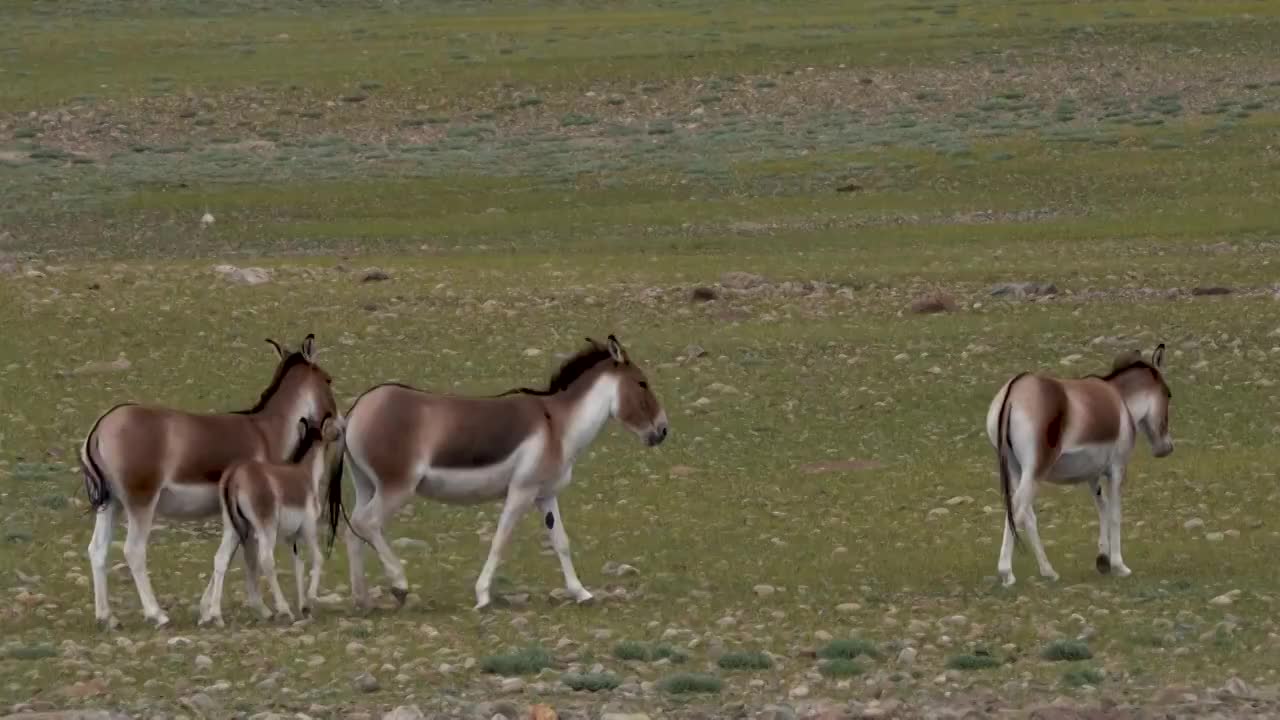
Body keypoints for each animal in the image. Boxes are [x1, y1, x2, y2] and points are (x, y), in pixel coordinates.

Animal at [76, 333, 337, 625]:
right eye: (328, 379)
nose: (339, 424)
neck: (266, 430)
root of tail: (102, 425)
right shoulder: (248, 515)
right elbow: (247, 558)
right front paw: (259, 608)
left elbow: (229, 557)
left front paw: (207, 611)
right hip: (140, 502)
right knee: (133, 551)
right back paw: (157, 614)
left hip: (111, 503)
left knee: (97, 550)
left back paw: (106, 618)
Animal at [345, 333, 675, 607]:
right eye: (642, 383)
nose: (662, 430)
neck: (558, 426)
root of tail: (356, 411)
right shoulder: (521, 491)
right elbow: (500, 540)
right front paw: (482, 596)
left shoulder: (545, 495)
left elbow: (561, 543)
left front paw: (581, 593)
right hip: (397, 486)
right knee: (367, 522)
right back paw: (399, 584)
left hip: (367, 485)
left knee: (354, 528)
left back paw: (362, 599)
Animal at [983, 345, 1172, 586]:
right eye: (1168, 394)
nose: (1166, 448)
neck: (1121, 400)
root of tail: (1014, 390)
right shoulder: (1117, 469)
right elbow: (1115, 514)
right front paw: (1119, 566)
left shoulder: (1092, 475)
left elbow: (1102, 508)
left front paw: (1103, 560)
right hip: (1035, 471)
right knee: (1016, 509)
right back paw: (1007, 572)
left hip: (1016, 470)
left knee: (1027, 515)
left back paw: (1049, 571)